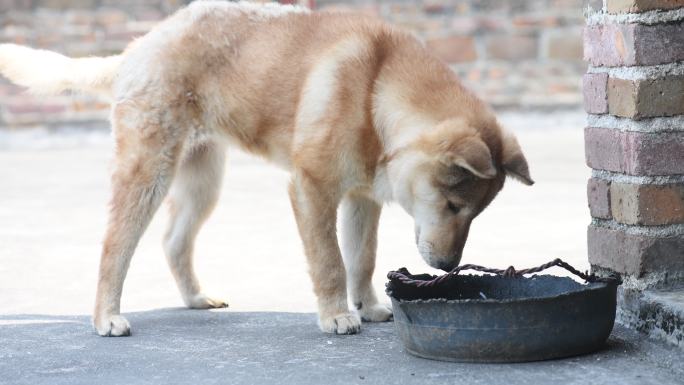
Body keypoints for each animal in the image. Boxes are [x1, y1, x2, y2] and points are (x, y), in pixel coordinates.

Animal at [0, 0, 536, 336]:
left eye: (472, 214)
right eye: (451, 205)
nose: (447, 268)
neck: (375, 89)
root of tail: (140, 45)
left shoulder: (362, 199)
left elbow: (361, 259)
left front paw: (368, 306)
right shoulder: (311, 189)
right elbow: (330, 262)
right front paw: (337, 315)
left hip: (202, 183)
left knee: (174, 241)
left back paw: (195, 299)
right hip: (148, 174)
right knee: (115, 248)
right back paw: (106, 318)